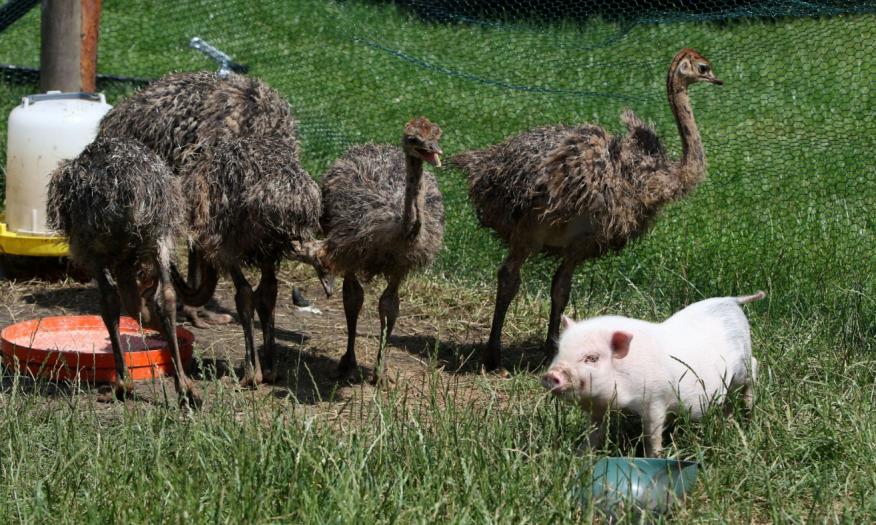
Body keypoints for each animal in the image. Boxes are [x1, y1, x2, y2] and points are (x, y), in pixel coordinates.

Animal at [544, 290, 764, 454]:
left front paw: (654, 456)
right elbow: (594, 433)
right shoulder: (599, 408)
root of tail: (731, 300)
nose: (551, 374)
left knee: (754, 366)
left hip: (742, 365)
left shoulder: (656, 399)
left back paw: (748, 412)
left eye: (592, 358)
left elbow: (652, 435)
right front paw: (580, 455)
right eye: (559, 350)